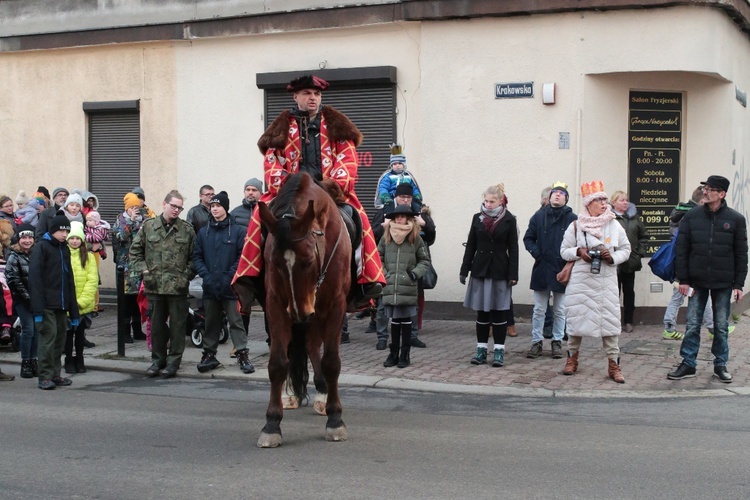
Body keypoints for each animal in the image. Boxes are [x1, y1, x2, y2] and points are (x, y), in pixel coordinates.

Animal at [258, 174, 352, 448]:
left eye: (309, 260)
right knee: (308, 345)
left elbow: (331, 362)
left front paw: (335, 419)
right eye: (274, 262)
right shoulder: (275, 304)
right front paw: (272, 423)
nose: (299, 314)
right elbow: (278, 363)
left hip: (319, 312)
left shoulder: (336, 305)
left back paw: (322, 394)